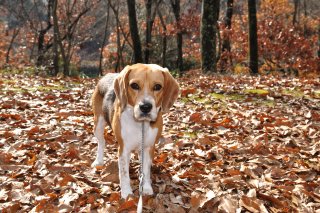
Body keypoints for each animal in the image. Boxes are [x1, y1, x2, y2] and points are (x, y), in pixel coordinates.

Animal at [91, 64, 180, 199]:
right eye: (134, 85)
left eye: (157, 87)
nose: (145, 107)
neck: (141, 125)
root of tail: (107, 75)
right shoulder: (124, 149)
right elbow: (124, 173)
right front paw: (126, 193)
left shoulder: (149, 148)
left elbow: (146, 170)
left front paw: (146, 188)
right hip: (98, 124)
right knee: (101, 142)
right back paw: (99, 161)